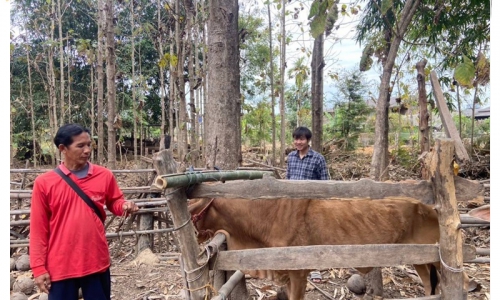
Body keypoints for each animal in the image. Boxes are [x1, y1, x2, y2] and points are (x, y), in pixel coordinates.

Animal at [188, 198, 464, 298]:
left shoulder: (299, 273)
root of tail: (431, 207)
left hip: (439, 259)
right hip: (421, 260)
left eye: (193, 210)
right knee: (430, 286)